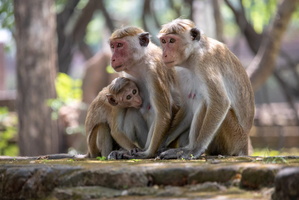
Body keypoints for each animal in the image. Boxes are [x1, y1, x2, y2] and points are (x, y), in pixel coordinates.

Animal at [107, 26, 190, 159]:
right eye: (112, 46)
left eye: (119, 45)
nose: (113, 58)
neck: (142, 61)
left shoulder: (154, 71)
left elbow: (163, 114)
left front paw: (147, 153)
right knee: (131, 111)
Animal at [157, 19, 255, 159]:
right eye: (163, 41)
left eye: (172, 40)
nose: (164, 54)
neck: (193, 55)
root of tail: (245, 143)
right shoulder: (180, 72)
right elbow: (187, 108)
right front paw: (163, 142)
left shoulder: (204, 62)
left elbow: (220, 102)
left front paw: (196, 149)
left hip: (234, 138)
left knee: (205, 102)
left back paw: (189, 149)